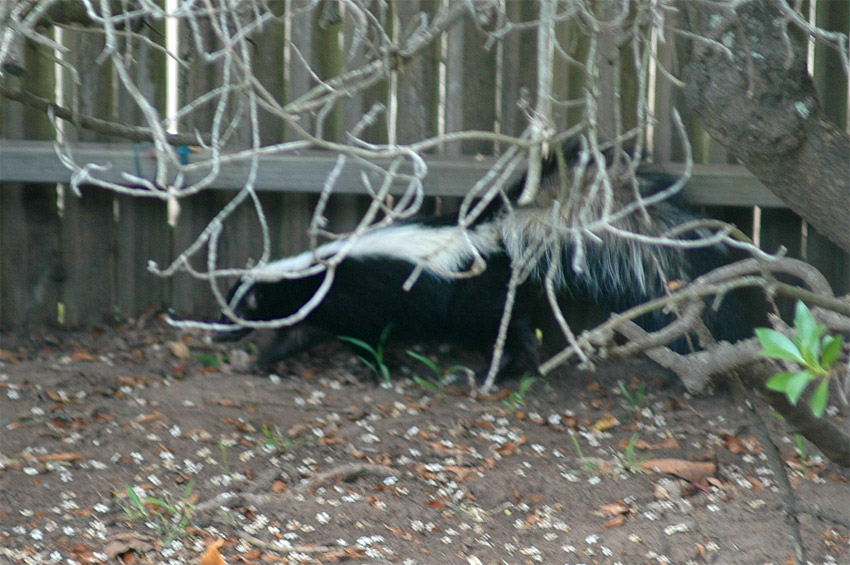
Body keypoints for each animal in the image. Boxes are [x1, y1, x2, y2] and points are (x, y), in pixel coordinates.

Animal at [215, 139, 752, 372]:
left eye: (234, 311)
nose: (217, 333)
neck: (305, 275)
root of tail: (498, 231)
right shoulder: (315, 308)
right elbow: (294, 336)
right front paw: (258, 364)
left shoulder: (358, 301)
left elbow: (368, 340)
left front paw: (370, 369)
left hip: (476, 301)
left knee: (507, 331)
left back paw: (497, 370)